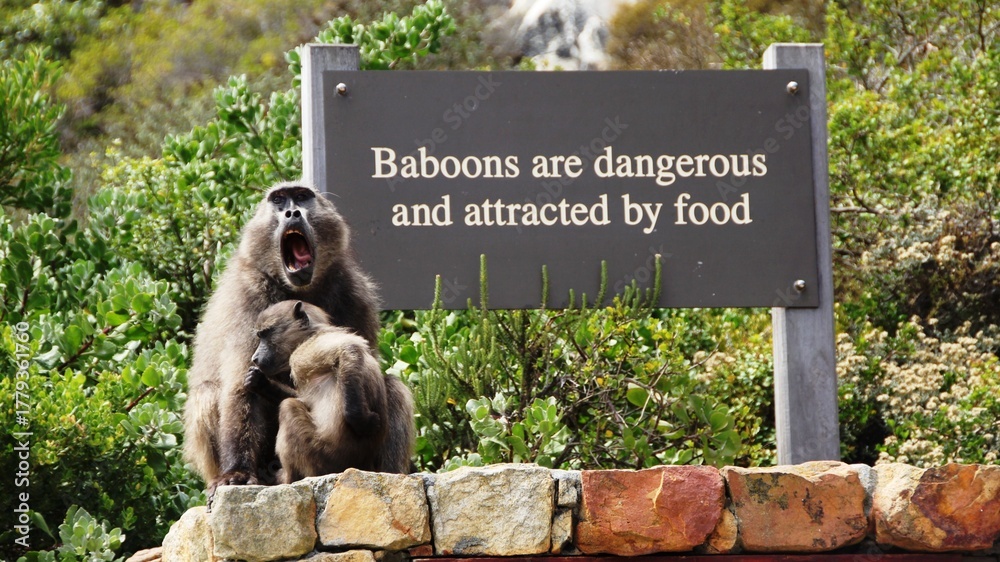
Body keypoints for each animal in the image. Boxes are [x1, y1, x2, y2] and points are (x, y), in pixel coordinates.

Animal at [183, 181, 386, 497]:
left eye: (302, 197)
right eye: (278, 200)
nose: (292, 212)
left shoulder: (355, 293)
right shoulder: (248, 298)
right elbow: (240, 386)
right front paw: (237, 473)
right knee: (208, 392)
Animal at [244, 300, 414, 482]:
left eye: (265, 334)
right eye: (260, 336)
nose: (255, 358)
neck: (311, 334)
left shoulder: (302, 353)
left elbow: (348, 348)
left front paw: (361, 420)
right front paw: (260, 382)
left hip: (324, 458)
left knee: (288, 407)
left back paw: (288, 479)